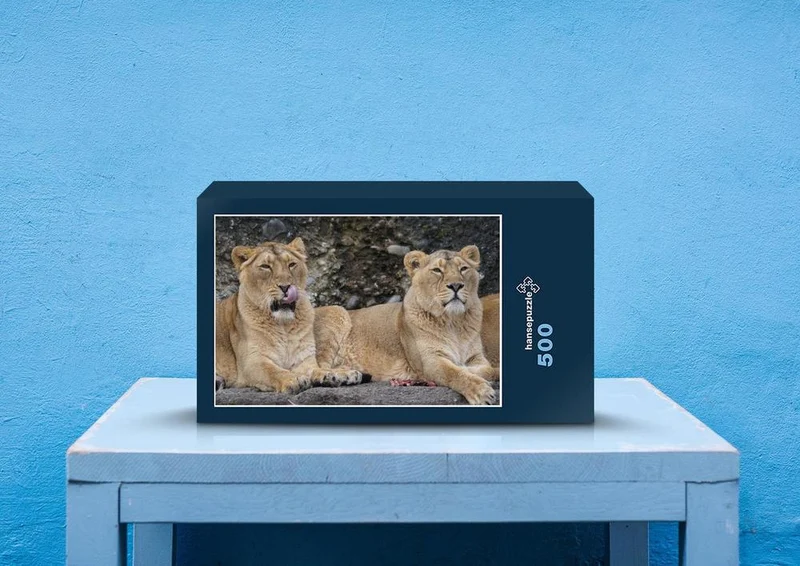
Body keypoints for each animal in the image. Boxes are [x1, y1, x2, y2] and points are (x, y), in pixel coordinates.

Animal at [215, 237, 362, 393]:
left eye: (291, 264)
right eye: (265, 266)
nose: (285, 287)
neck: (283, 325)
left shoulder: (303, 359)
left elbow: (317, 369)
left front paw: (340, 374)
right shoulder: (252, 362)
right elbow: (274, 371)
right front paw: (294, 379)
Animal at [343, 245, 498, 405]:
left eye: (464, 268)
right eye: (437, 270)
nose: (456, 285)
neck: (453, 321)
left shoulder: (477, 357)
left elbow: (487, 370)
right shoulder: (429, 360)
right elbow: (454, 373)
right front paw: (481, 391)